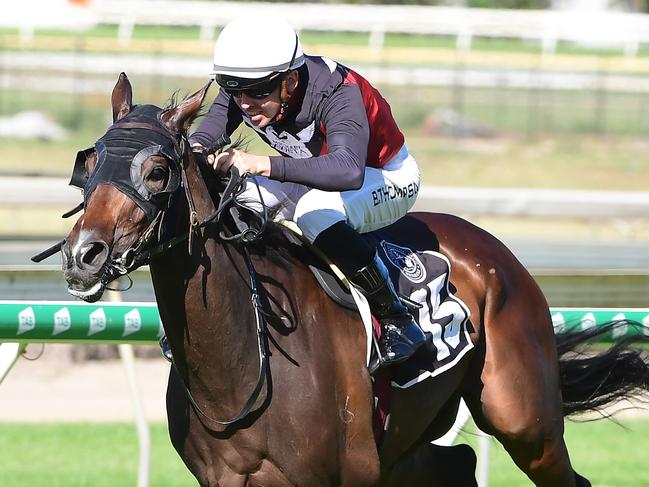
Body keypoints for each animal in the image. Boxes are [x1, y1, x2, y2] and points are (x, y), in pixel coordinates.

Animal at [55, 73, 648, 487]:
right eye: (89, 162)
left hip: (525, 422)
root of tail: (497, 252)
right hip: (407, 446)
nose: (83, 255)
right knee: (457, 464)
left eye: (157, 172)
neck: (240, 359)